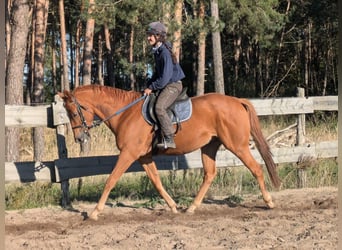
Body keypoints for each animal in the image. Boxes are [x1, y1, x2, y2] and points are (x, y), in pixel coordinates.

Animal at [57, 85, 280, 220]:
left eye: (74, 112)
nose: (80, 138)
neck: (125, 113)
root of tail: (236, 100)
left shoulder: (129, 153)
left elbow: (111, 180)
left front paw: (95, 212)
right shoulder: (143, 156)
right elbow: (156, 181)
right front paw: (173, 206)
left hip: (237, 146)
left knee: (256, 168)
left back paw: (269, 202)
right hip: (209, 146)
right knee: (209, 174)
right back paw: (192, 207)